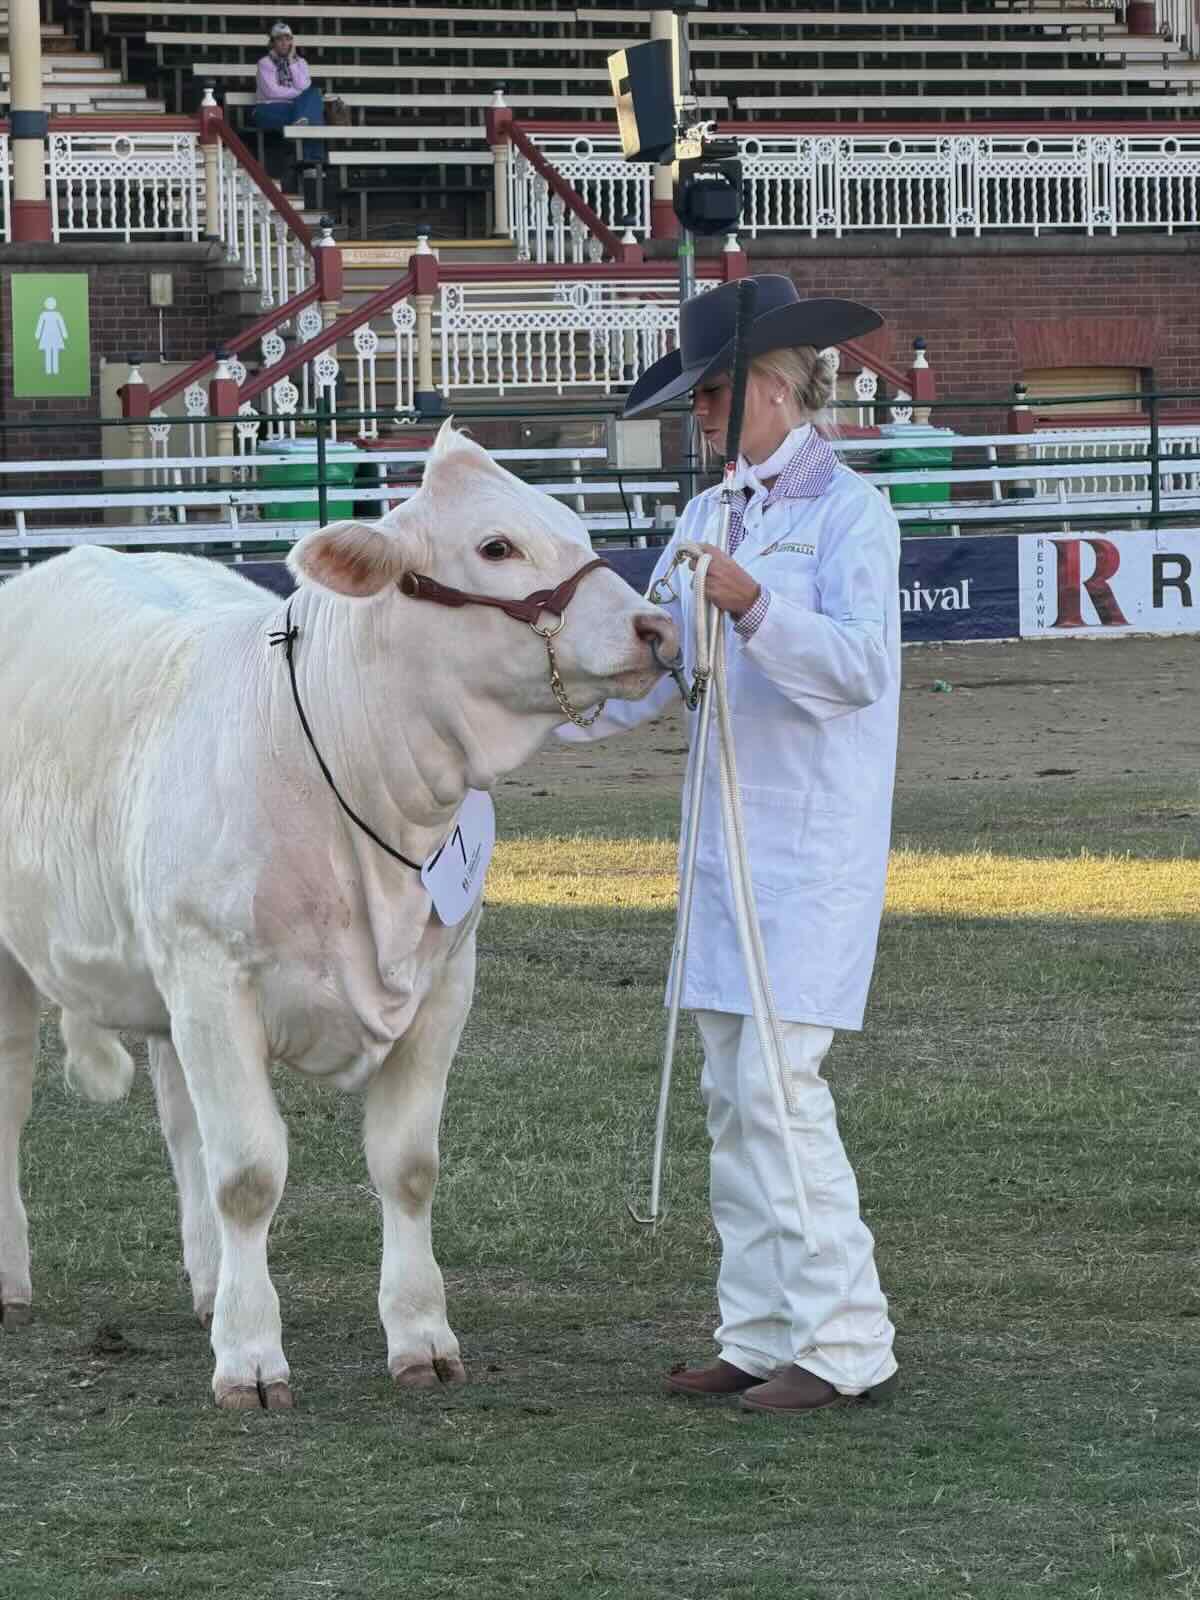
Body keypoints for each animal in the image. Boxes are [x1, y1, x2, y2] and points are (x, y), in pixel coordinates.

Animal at [0, 423, 678, 1409]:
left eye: (574, 525)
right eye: (496, 547)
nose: (657, 627)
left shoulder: (444, 981)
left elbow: (406, 1165)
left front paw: (420, 1333)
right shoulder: (214, 975)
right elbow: (248, 1172)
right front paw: (250, 1357)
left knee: (180, 1123)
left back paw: (208, 1284)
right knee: (13, 1103)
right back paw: (13, 1281)